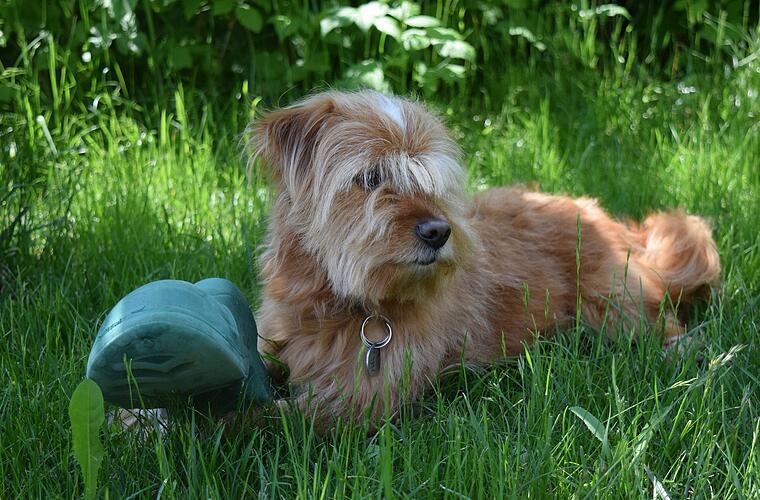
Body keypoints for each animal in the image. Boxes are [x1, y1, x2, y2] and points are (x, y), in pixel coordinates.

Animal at [249, 89, 720, 426]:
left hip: (614, 305)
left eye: (430, 181)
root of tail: (606, 219)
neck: (330, 301)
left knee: (666, 325)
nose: (438, 232)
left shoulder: (355, 399)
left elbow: (264, 418)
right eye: (370, 177)